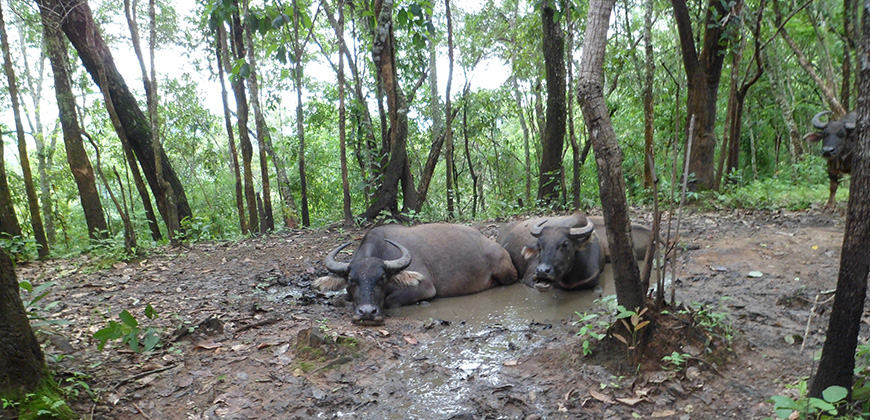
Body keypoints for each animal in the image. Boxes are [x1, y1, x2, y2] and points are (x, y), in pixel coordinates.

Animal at [316, 223, 516, 324]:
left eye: (382, 279)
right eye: (351, 280)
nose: (367, 312)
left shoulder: (424, 288)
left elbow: (389, 301)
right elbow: (339, 299)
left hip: (506, 273)